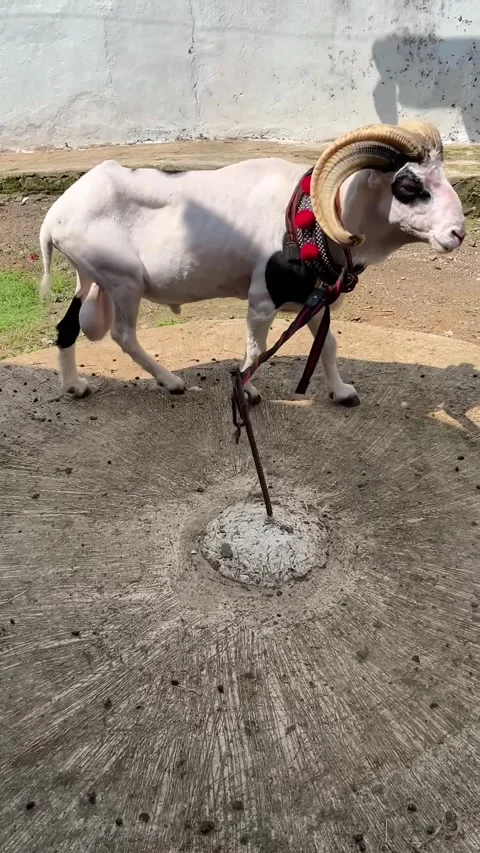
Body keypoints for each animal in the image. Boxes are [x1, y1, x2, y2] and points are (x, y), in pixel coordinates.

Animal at [39, 122, 465, 404]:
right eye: (409, 185)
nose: (457, 233)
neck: (318, 217)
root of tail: (54, 219)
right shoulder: (263, 299)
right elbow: (256, 349)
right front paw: (249, 392)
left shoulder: (314, 298)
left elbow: (328, 344)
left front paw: (342, 392)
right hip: (124, 281)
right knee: (124, 335)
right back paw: (172, 382)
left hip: (90, 279)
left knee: (67, 326)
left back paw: (75, 386)